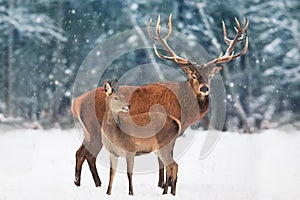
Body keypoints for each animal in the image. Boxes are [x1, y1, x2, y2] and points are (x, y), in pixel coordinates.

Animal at [72, 14, 248, 189]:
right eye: (193, 75)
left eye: (210, 75)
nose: (204, 88)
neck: (185, 111)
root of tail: (76, 103)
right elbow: (162, 160)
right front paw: (165, 184)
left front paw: (162, 184)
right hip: (95, 128)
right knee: (88, 154)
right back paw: (96, 184)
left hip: (88, 131)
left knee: (80, 153)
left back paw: (82, 183)